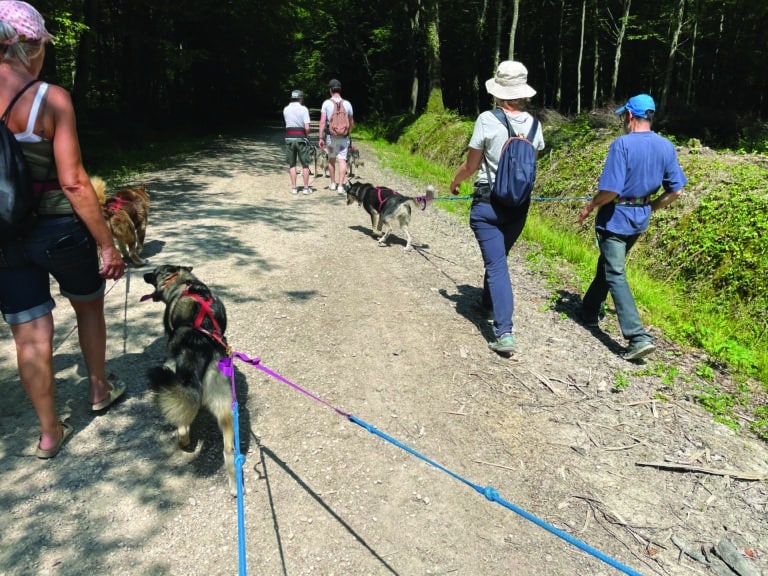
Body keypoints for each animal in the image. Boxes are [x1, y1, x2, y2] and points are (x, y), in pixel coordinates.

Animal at [142, 266, 237, 496]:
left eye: (153, 271)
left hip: (173, 373)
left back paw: (181, 441)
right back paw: (234, 486)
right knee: (228, 451)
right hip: (225, 407)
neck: (181, 280)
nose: (142, 274)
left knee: (183, 424)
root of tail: (200, 342)